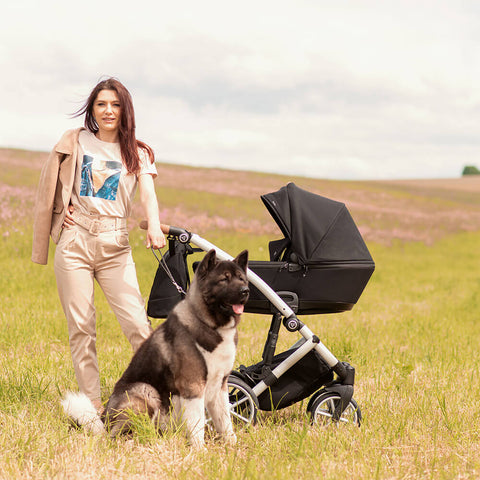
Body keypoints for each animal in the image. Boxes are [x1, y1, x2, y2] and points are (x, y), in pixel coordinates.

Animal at [62, 249, 249, 448]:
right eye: (224, 279)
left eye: (241, 279)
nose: (245, 291)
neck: (209, 324)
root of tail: (104, 422)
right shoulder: (192, 387)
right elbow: (197, 423)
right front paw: (200, 450)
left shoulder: (220, 385)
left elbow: (225, 421)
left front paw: (232, 445)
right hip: (146, 391)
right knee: (116, 434)